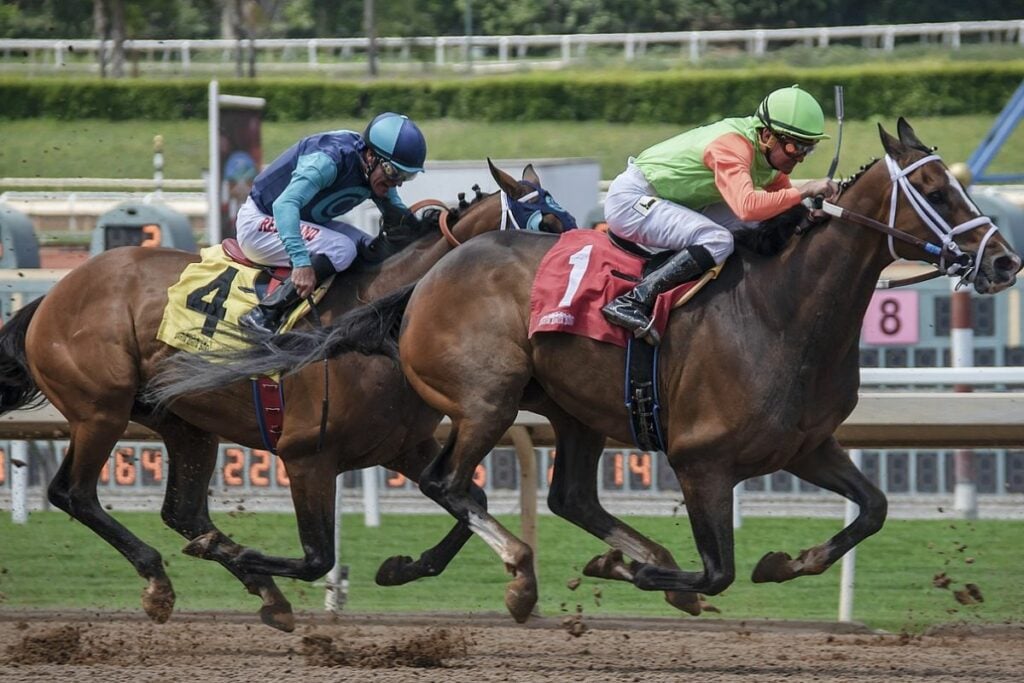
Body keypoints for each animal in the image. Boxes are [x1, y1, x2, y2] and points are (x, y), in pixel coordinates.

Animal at [0, 160, 577, 630]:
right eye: (547, 226)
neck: (374, 322)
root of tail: (54, 294)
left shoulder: (401, 447)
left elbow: (468, 497)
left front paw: (404, 568)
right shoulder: (306, 456)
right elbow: (319, 557)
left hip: (185, 423)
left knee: (183, 512)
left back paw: (257, 588)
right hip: (100, 409)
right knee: (74, 494)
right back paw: (161, 579)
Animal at [193, 120, 1024, 622]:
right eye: (939, 191)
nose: (1004, 261)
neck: (782, 312)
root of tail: (425, 279)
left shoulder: (808, 445)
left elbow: (873, 508)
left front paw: (787, 560)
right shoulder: (701, 461)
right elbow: (715, 571)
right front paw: (634, 572)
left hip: (573, 412)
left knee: (551, 493)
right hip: (488, 398)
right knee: (448, 480)